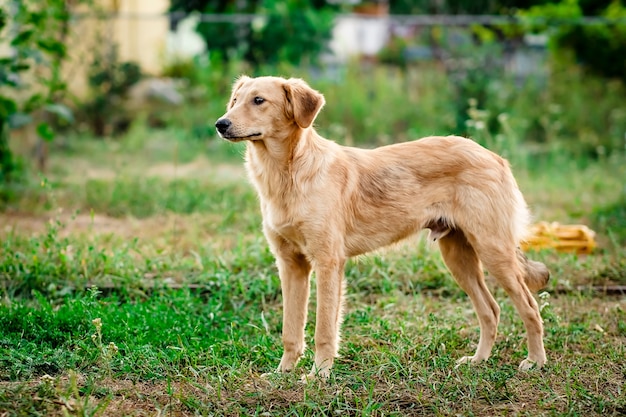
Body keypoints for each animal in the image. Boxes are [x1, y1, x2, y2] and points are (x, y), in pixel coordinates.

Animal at [214, 75, 544, 376]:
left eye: (259, 100)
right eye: (235, 100)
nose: (221, 124)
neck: (289, 173)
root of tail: (494, 156)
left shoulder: (328, 263)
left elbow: (324, 330)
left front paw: (319, 375)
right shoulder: (290, 264)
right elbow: (291, 330)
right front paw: (284, 373)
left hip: (494, 251)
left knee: (530, 307)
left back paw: (535, 362)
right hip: (458, 257)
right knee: (491, 310)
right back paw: (479, 361)